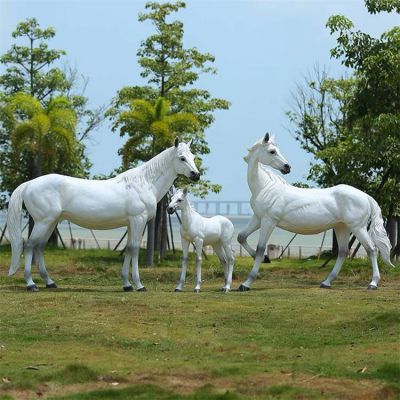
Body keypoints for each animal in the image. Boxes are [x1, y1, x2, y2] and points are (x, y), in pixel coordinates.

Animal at [8, 139, 203, 292]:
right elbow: (134, 250)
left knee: (39, 248)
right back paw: (31, 284)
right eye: (182, 158)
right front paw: (139, 285)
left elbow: (128, 249)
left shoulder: (131, 223)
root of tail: (30, 184)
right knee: (29, 246)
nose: (196, 175)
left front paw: (127, 285)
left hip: (51, 223)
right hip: (43, 222)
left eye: (193, 157)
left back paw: (50, 282)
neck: (144, 182)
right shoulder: (138, 220)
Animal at [238, 133, 394, 292]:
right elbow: (241, 237)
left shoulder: (269, 221)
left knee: (371, 249)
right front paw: (266, 258)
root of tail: (366, 197)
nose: (287, 167)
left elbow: (260, 249)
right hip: (342, 227)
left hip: (358, 228)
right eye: (272, 151)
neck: (265, 187)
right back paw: (326, 282)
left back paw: (373, 283)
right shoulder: (258, 219)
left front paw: (246, 283)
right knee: (343, 252)